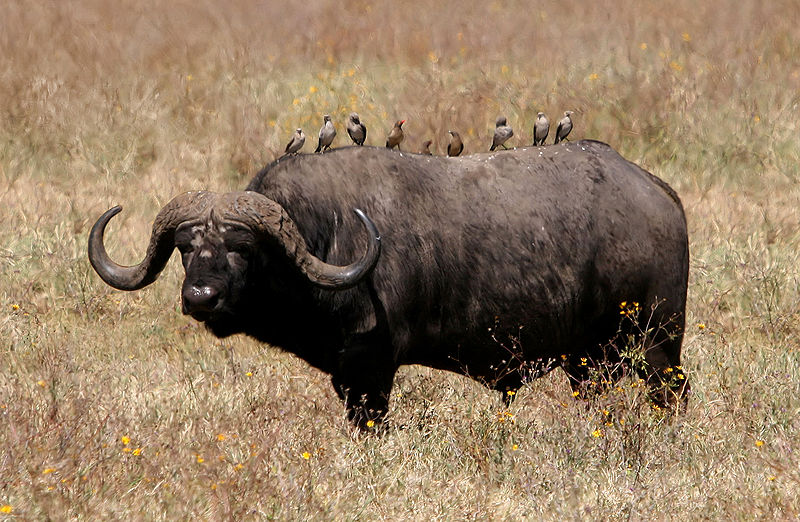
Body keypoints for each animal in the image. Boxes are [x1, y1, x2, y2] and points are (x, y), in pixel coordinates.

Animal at [89, 140, 690, 428]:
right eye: (187, 248)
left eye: (242, 248)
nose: (200, 298)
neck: (328, 235)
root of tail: (658, 192)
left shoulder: (370, 370)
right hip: (589, 362)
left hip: (657, 343)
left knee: (673, 394)